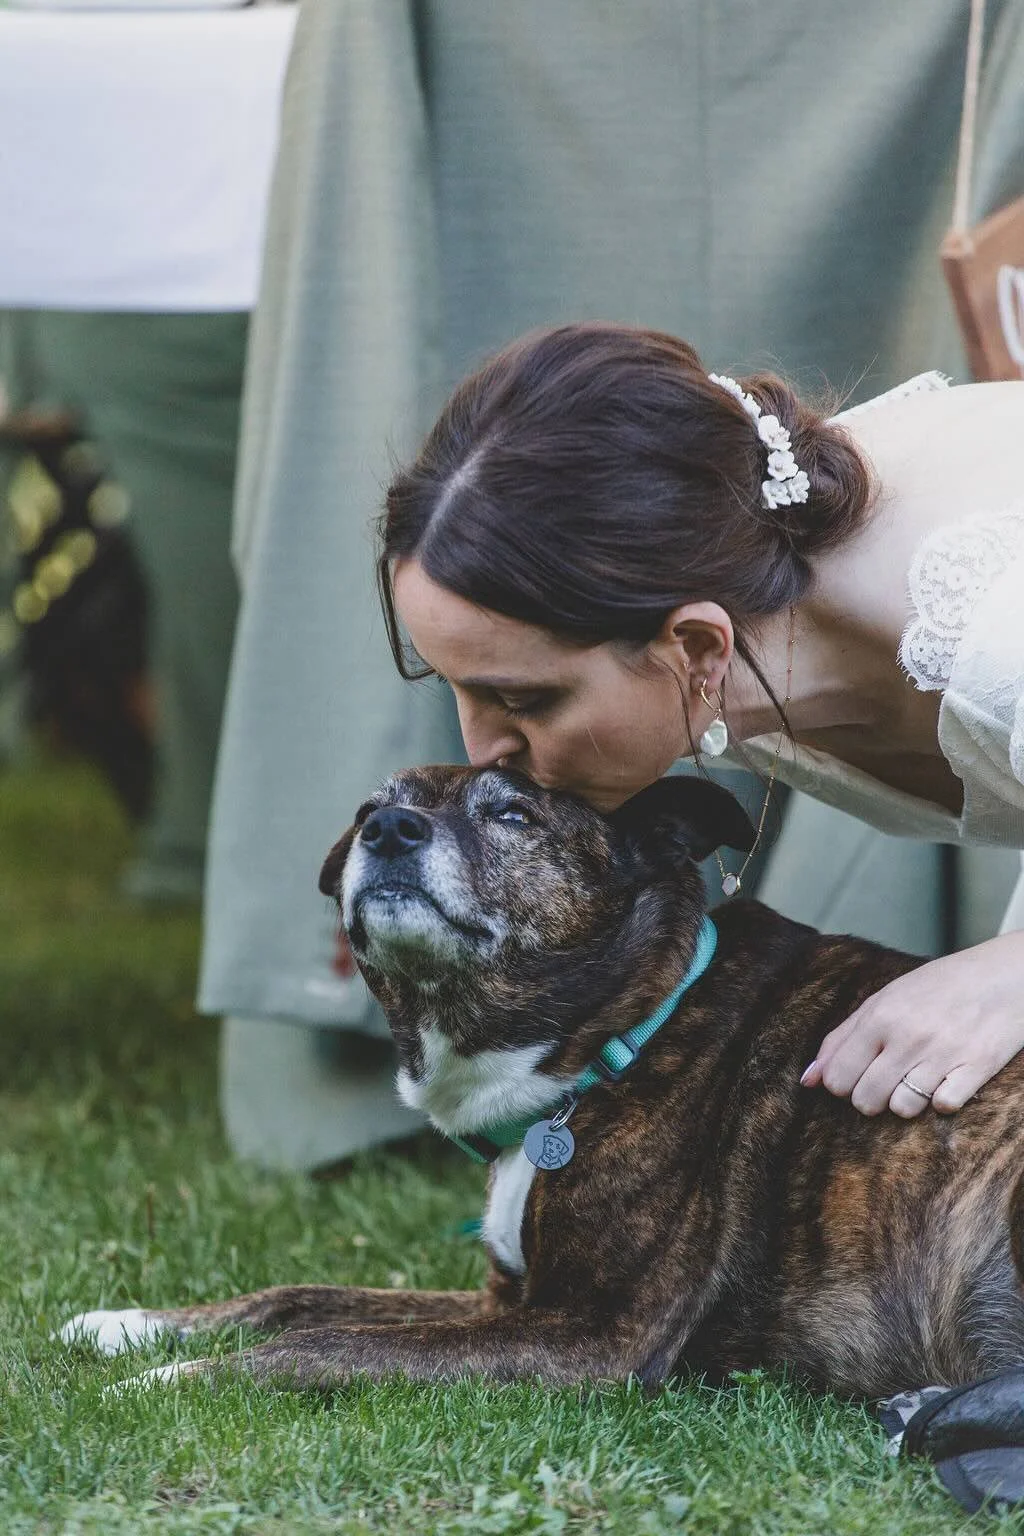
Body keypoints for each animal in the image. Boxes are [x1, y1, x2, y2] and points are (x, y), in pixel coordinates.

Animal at [61, 766, 1024, 1399]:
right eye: (369, 806)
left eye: (513, 813)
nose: (390, 830)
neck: (620, 1036)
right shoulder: (509, 1299)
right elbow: (306, 1298)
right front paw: (135, 1324)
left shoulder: (594, 1333)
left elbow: (330, 1341)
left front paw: (168, 1377)